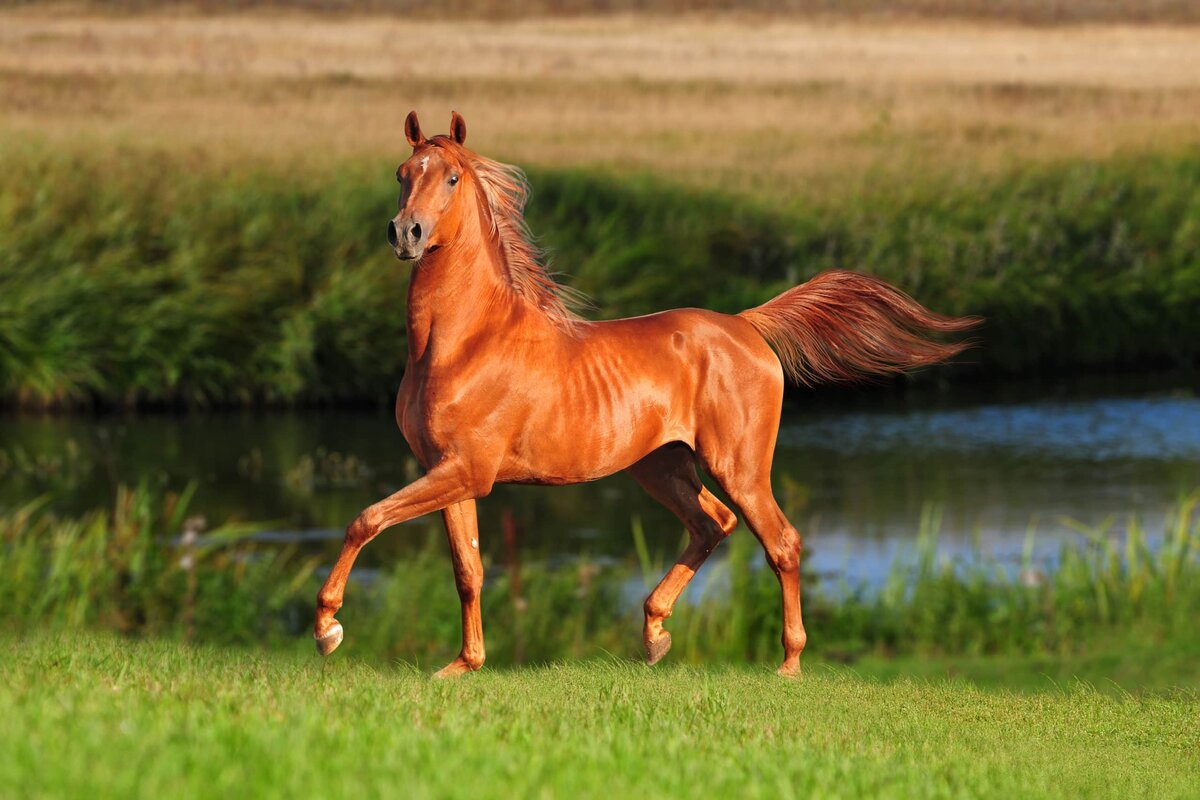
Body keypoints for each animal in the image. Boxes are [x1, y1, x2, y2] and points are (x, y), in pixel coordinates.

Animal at [314, 110, 979, 677]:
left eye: (451, 177)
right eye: (402, 174)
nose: (406, 233)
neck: (463, 342)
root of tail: (747, 325)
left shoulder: (467, 471)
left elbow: (365, 519)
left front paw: (328, 629)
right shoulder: (450, 470)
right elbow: (467, 570)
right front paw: (462, 665)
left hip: (736, 466)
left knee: (781, 542)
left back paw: (787, 663)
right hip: (661, 466)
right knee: (713, 525)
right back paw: (655, 633)